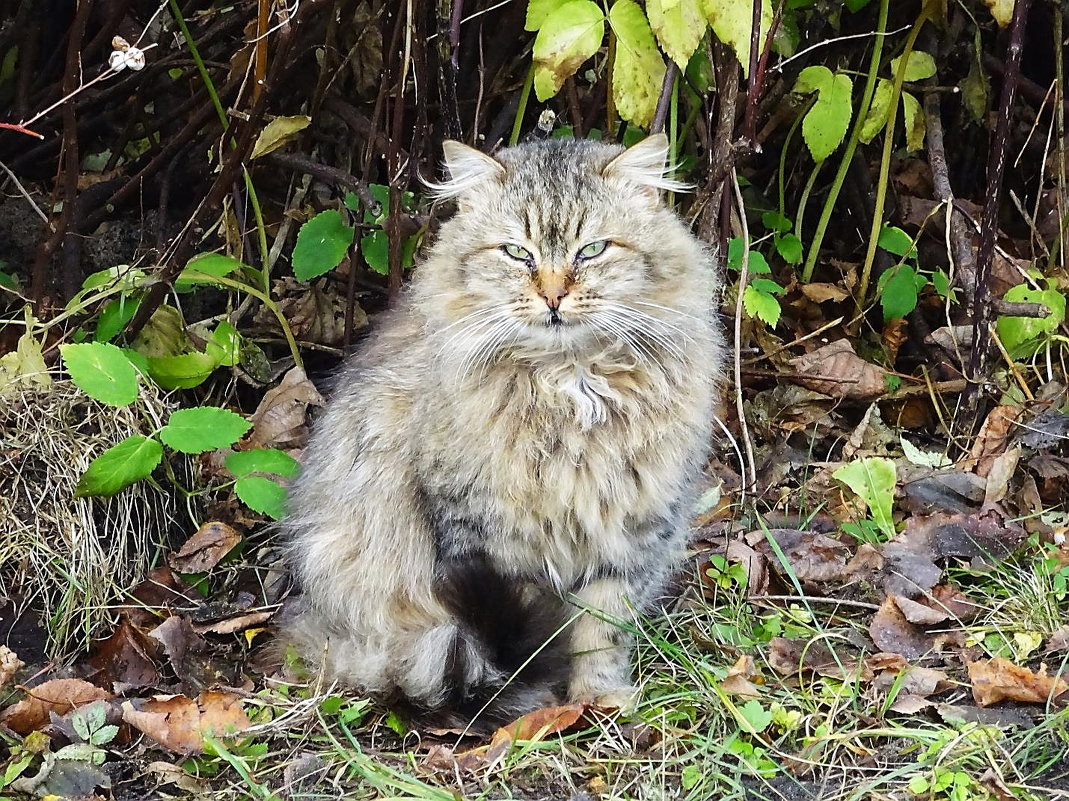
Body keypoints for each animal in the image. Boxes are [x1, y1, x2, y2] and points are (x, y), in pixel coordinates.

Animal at [280, 134, 722, 727]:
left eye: (591, 251)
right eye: (517, 253)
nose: (553, 296)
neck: (569, 383)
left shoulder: (632, 532)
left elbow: (601, 633)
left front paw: (599, 699)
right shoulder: (481, 536)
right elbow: (513, 642)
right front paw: (531, 706)